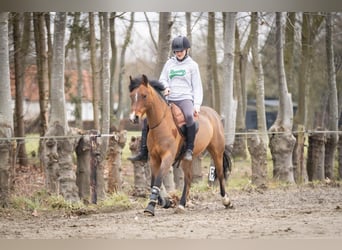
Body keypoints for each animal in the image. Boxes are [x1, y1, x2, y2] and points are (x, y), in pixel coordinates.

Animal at [129, 73, 232, 215]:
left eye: (144, 95)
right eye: (132, 96)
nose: (134, 118)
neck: (162, 124)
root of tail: (215, 115)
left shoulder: (167, 157)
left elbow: (158, 179)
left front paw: (150, 207)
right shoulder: (154, 158)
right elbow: (153, 181)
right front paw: (164, 202)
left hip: (216, 151)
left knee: (220, 174)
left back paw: (226, 200)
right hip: (187, 159)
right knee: (188, 179)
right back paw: (182, 204)